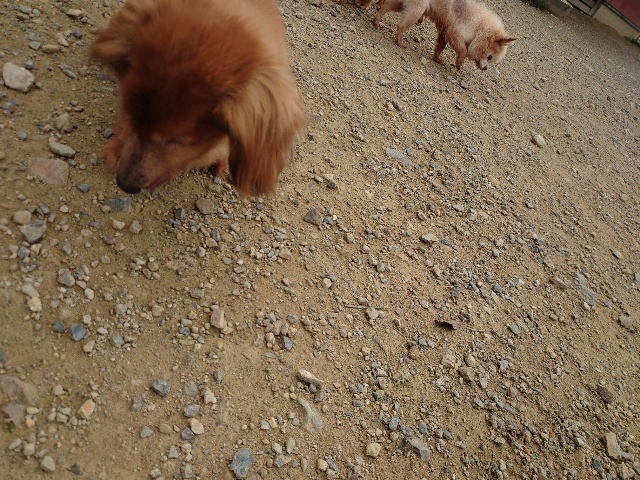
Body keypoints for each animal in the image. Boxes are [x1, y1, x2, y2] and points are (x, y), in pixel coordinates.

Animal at [374, 0, 515, 70]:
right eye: (490, 57)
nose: (485, 69)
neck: (480, 30)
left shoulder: (444, 31)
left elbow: (440, 47)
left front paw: (437, 58)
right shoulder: (454, 32)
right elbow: (463, 50)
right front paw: (459, 64)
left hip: (402, 5)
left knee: (385, 7)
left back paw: (376, 21)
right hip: (416, 10)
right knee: (401, 26)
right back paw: (399, 42)